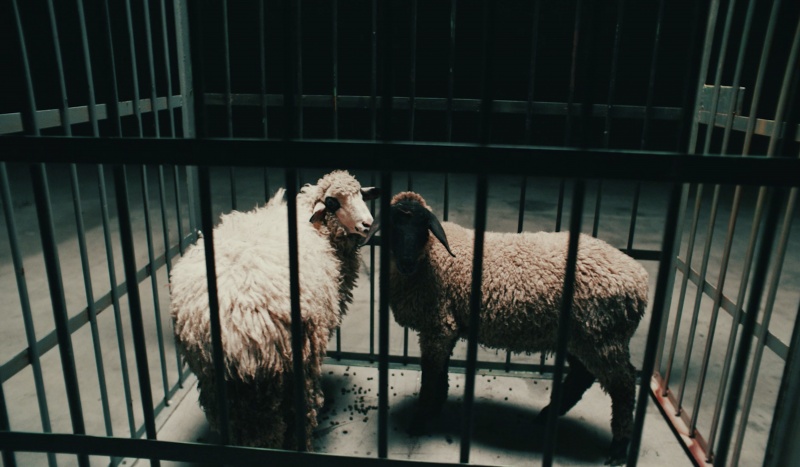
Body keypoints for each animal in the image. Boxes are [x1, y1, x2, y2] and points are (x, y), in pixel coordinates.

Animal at [168, 171, 378, 450]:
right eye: (333, 202)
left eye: (360, 195)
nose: (367, 224)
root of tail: (237, 335)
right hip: (290, 368)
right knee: (292, 415)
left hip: (215, 380)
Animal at [376, 192, 648, 466]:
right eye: (393, 224)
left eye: (423, 226)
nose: (407, 262)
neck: (431, 256)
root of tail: (640, 281)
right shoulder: (445, 325)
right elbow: (440, 372)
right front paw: (435, 407)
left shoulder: (438, 323)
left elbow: (431, 375)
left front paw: (420, 420)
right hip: (582, 337)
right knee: (582, 375)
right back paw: (548, 416)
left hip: (602, 337)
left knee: (623, 385)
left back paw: (618, 447)